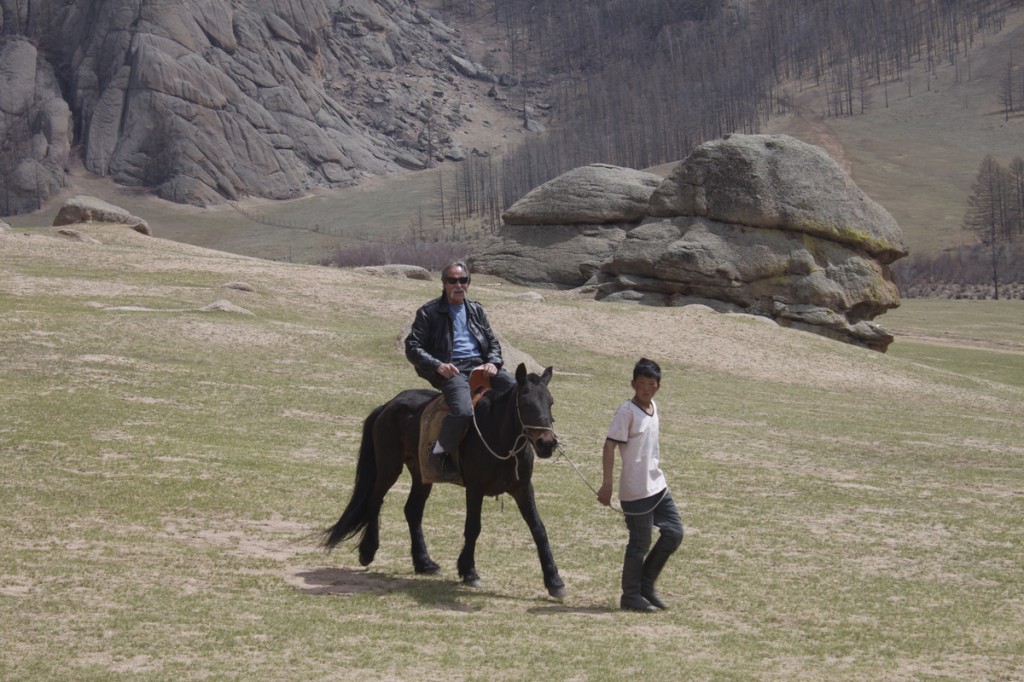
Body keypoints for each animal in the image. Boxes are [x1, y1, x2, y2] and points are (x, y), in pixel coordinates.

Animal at [319, 360, 565, 593]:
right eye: (525, 403)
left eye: (550, 403)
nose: (547, 443)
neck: (498, 434)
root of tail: (388, 405)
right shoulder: (475, 489)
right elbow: (473, 527)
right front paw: (469, 572)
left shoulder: (523, 488)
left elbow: (538, 528)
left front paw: (554, 580)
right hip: (389, 467)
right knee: (374, 501)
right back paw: (368, 551)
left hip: (422, 474)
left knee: (412, 510)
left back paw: (424, 563)